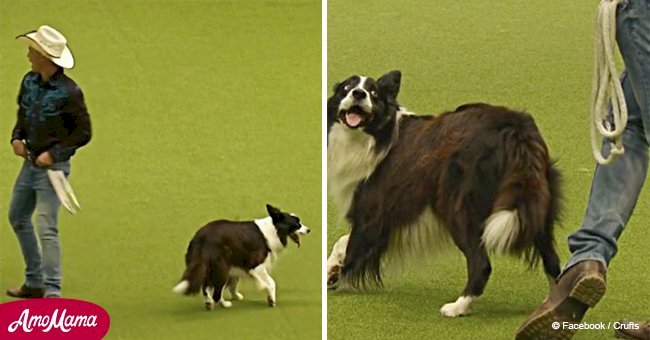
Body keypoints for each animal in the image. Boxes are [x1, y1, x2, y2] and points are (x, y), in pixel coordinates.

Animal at [172, 203, 308, 310]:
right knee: (216, 292)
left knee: (206, 287)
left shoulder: (237, 266)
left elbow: (233, 284)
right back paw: (225, 304)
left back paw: (209, 303)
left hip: (209, 267)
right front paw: (270, 298)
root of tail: (200, 238)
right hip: (222, 268)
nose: (309, 230)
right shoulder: (256, 266)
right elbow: (271, 282)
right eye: (297, 224)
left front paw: (236, 296)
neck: (274, 229)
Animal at [326, 70, 560, 318]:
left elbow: (350, 244)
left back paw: (458, 307)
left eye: (373, 93)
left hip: (460, 207)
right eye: (347, 87)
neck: (375, 136)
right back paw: (553, 303)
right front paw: (332, 271)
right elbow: (343, 242)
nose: (358, 94)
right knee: (552, 259)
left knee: (481, 263)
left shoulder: (372, 209)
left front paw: (331, 275)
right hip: (533, 204)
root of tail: (515, 128)